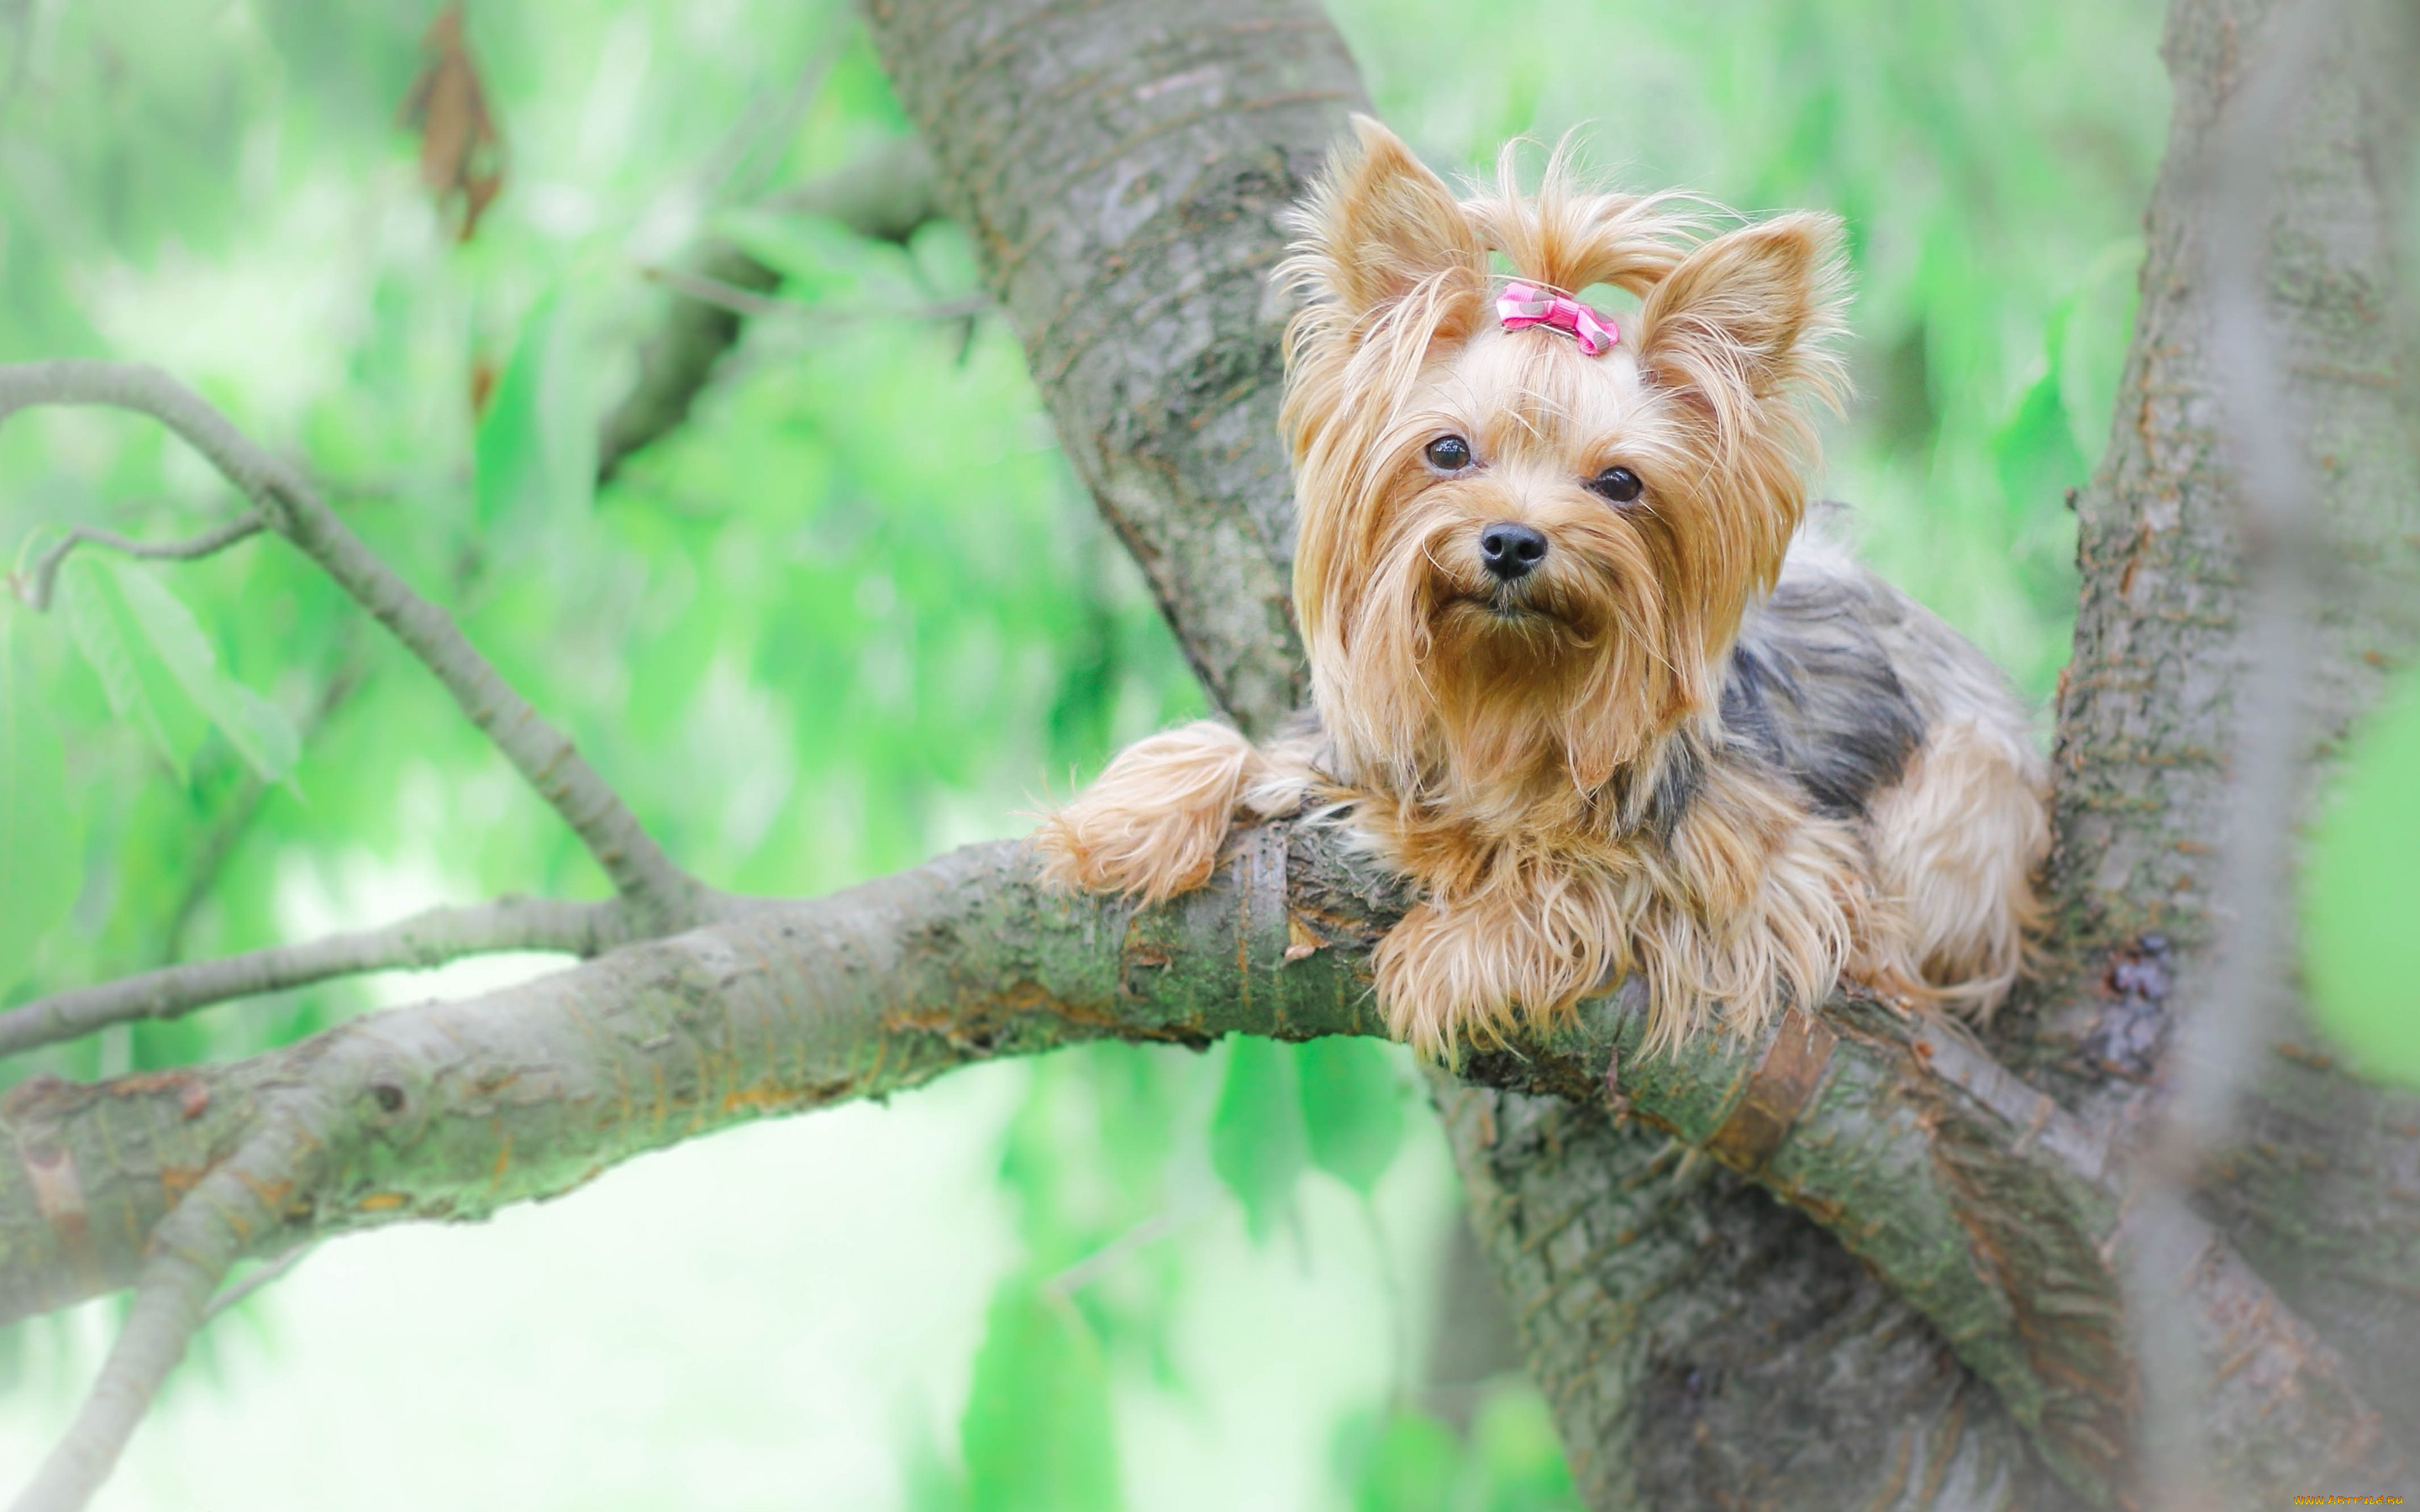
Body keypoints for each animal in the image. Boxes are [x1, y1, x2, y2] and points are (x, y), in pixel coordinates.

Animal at [1030, 118, 2052, 1054]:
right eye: (1447, 451)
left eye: (1621, 483)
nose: (1515, 541)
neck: (1505, 690)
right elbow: (1251, 754)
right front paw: (1131, 816)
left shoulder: (1785, 872)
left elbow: (1604, 871)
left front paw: (1461, 949)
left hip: (1971, 793)